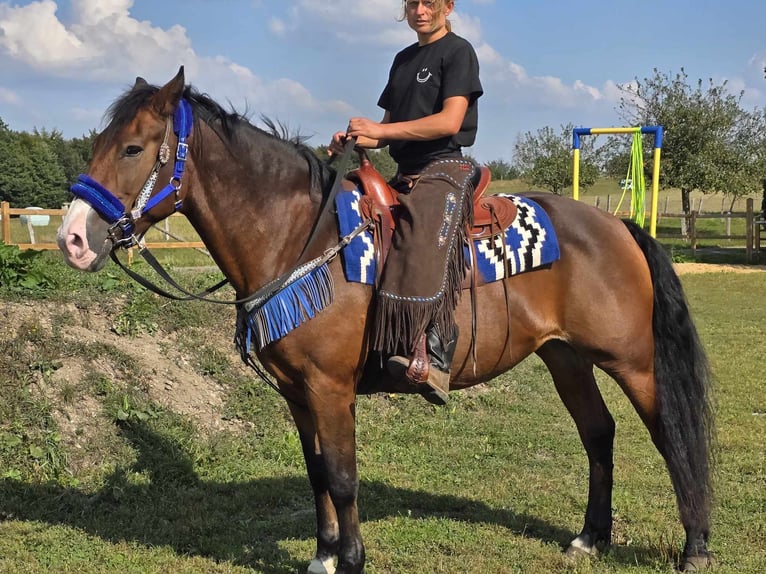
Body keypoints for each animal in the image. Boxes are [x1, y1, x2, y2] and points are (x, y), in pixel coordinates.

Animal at [57, 68, 716, 574]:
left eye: (134, 148)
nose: (72, 240)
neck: (299, 239)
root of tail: (618, 227)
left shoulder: (329, 388)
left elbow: (344, 476)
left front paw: (350, 559)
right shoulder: (297, 392)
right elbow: (317, 473)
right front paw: (323, 555)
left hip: (633, 361)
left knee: (671, 436)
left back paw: (695, 547)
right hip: (565, 356)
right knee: (598, 433)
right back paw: (590, 537)